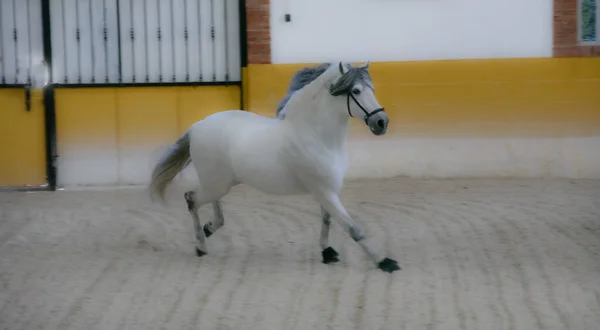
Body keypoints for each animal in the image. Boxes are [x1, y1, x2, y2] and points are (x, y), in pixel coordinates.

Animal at [149, 60, 400, 272]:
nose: (381, 122)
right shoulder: (324, 191)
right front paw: (385, 262)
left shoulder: (327, 191)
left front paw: (327, 252)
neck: (315, 134)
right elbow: (353, 228)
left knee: (212, 207)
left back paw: (209, 228)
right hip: (216, 183)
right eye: (355, 91)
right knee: (191, 199)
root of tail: (196, 127)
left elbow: (327, 220)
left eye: (372, 89)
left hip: (219, 182)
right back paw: (201, 245)